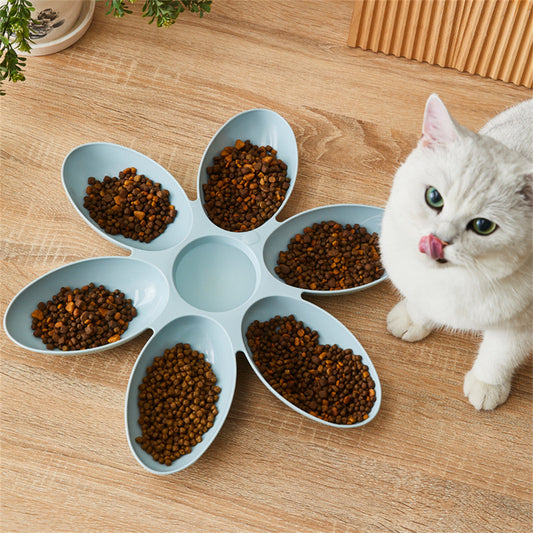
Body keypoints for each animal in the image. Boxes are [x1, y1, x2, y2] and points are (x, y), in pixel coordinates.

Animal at [380, 93, 528, 410]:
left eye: (483, 226)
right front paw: (413, 319)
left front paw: (487, 385)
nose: (439, 240)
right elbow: (421, 305)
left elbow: (499, 355)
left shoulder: (521, 327)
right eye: (434, 197)